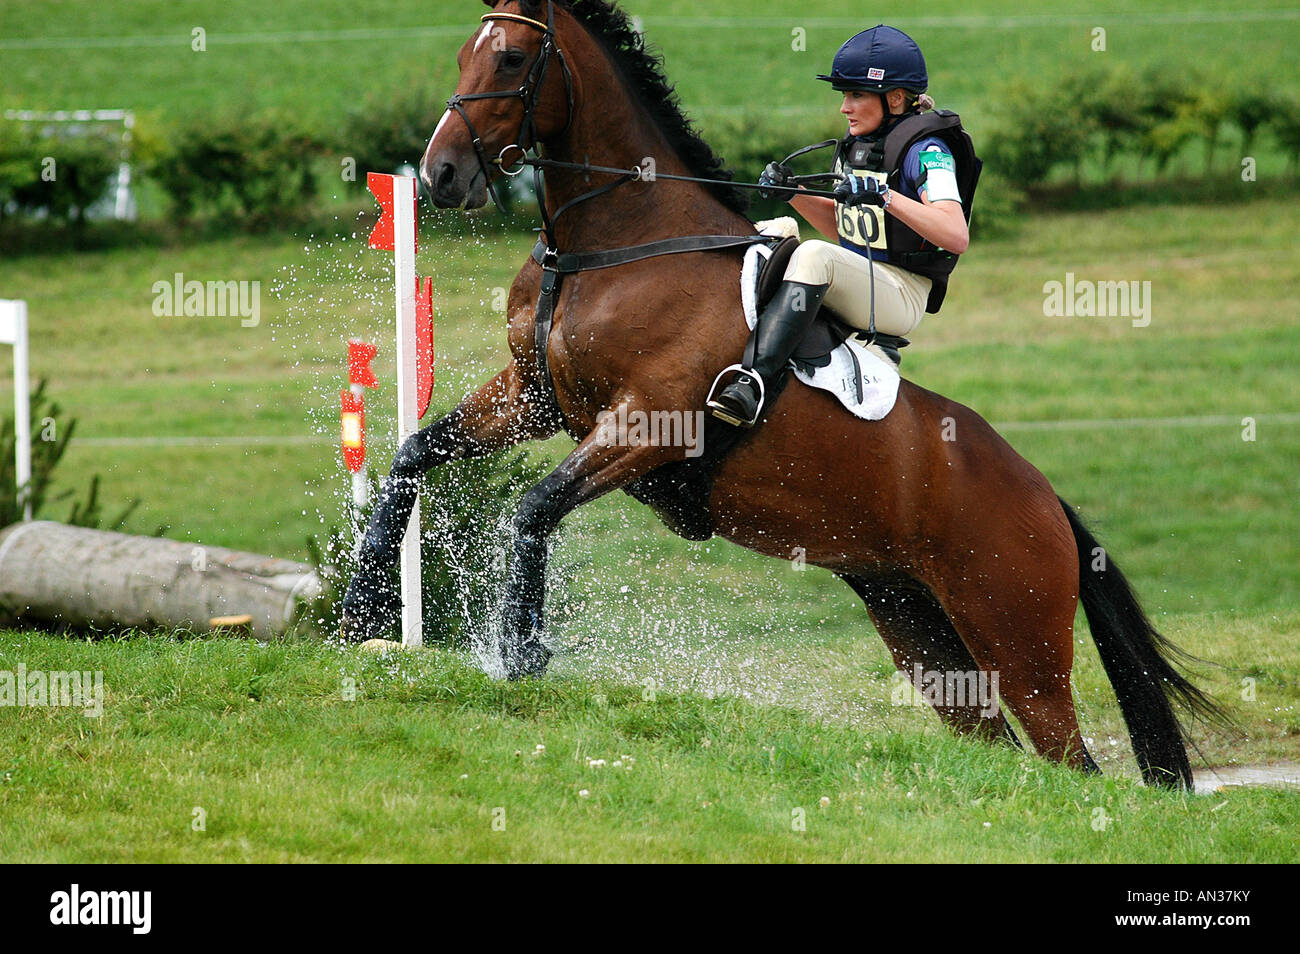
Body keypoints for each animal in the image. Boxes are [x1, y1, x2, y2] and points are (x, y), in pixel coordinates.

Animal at [343, 0, 1216, 790]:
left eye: (513, 60)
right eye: (465, 54)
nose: (440, 175)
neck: (617, 246)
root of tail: (1047, 500)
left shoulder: (648, 423)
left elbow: (534, 507)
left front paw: (520, 651)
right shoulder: (535, 397)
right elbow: (414, 453)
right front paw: (362, 611)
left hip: (1017, 637)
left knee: (1071, 759)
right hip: (914, 620)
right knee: (994, 740)